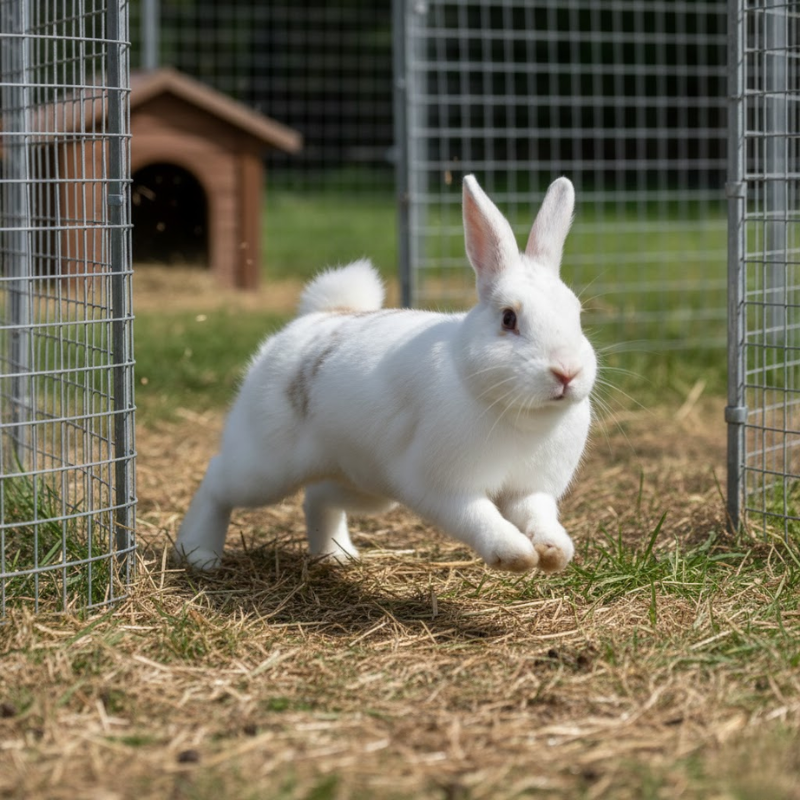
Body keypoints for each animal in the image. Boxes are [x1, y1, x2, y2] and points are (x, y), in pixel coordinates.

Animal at [175, 175, 596, 575]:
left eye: (577, 315)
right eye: (509, 318)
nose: (566, 373)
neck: (521, 415)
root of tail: (317, 316)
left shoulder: (531, 491)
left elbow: (539, 516)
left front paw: (554, 552)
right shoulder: (445, 488)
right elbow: (480, 518)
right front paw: (516, 555)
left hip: (367, 486)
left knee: (318, 497)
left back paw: (337, 556)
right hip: (266, 466)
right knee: (217, 481)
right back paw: (198, 554)